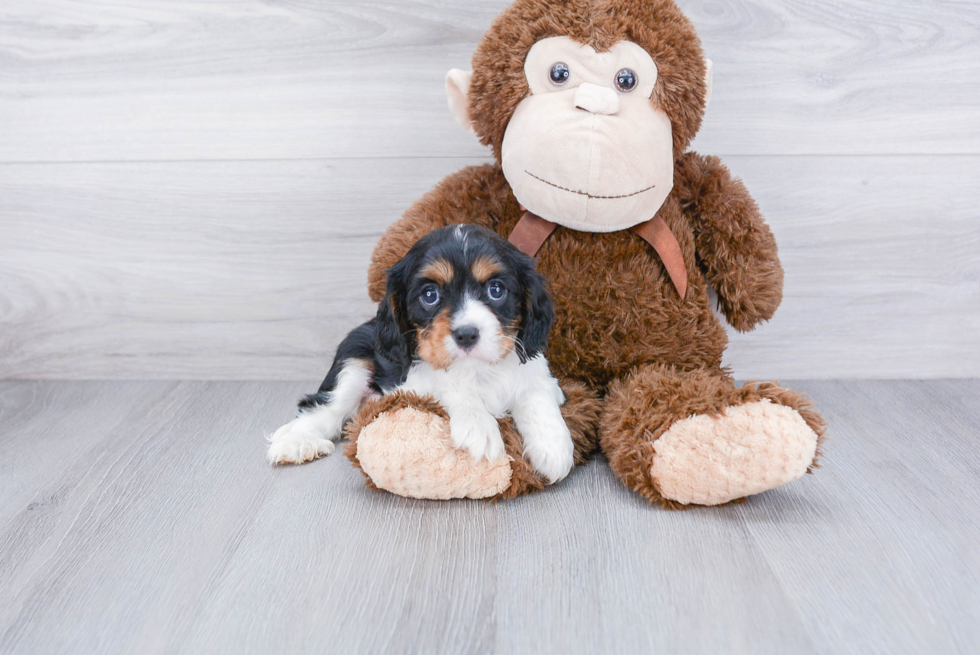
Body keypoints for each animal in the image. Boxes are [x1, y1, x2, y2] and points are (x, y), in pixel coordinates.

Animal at [268, 223, 576, 484]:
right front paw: (480, 427)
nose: (466, 334)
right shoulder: (414, 382)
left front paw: (554, 447)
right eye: (430, 295)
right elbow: (451, 387)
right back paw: (295, 444)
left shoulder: (541, 376)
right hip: (353, 362)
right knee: (322, 410)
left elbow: (535, 395)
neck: (477, 369)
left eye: (496, 289)